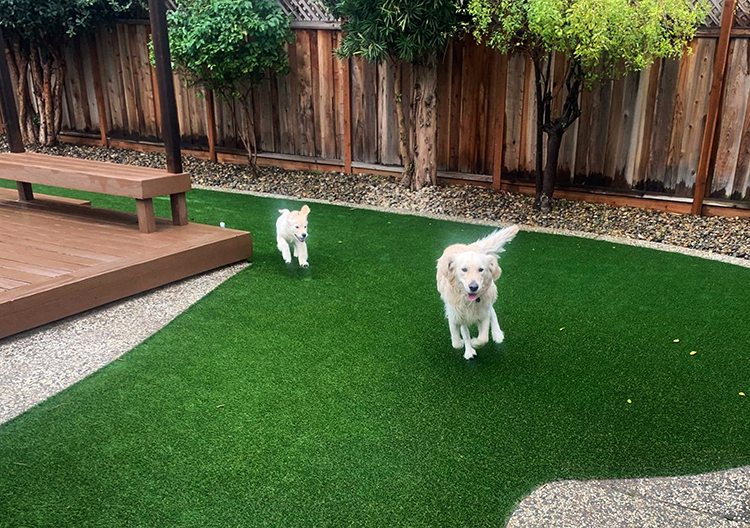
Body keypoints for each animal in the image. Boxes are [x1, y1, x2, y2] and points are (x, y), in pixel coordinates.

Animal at [438, 225, 520, 360]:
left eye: (481, 269)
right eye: (464, 269)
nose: (473, 287)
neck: (468, 301)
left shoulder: (483, 313)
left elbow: (483, 338)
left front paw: (474, 343)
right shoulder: (454, 315)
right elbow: (457, 342)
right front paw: (467, 346)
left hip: (490, 294)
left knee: (492, 311)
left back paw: (497, 333)